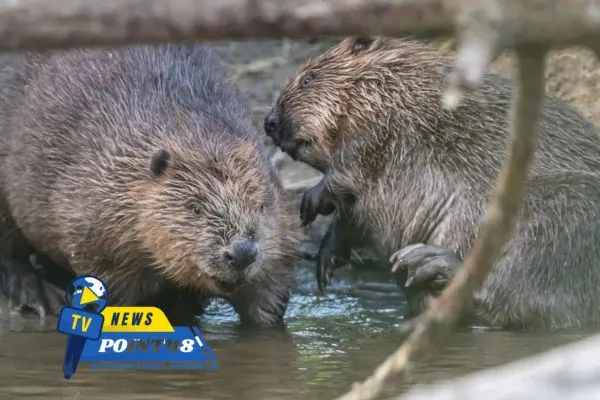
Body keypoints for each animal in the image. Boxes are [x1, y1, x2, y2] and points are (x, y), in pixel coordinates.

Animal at [0, 43, 300, 328]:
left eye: (261, 206)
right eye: (195, 208)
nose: (241, 253)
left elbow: (269, 294)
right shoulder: (98, 230)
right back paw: (38, 295)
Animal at [266, 36, 600, 332]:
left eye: (307, 79)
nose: (269, 122)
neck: (399, 84)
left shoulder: (387, 128)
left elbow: (348, 172)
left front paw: (310, 203)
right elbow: (356, 215)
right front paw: (326, 264)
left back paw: (428, 261)